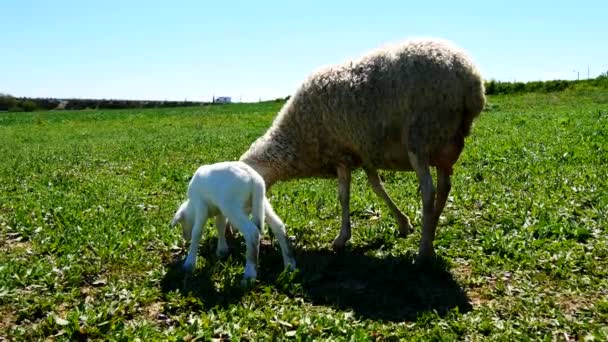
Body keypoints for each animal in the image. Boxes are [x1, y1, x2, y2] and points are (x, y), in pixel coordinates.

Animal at [240, 37, 486, 262]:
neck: (297, 137)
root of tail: (469, 75)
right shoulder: (365, 153)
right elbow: (378, 187)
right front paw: (404, 223)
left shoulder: (341, 155)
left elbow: (343, 197)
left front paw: (341, 238)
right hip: (446, 144)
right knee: (444, 188)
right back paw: (432, 230)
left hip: (420, 137)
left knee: (428, 191)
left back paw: (424, 249)